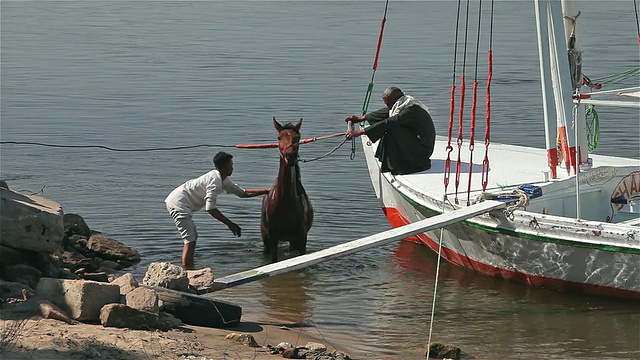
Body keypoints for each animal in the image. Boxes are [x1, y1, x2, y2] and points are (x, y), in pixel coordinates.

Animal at [262, 117, 314, 262]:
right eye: (279, 137)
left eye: (298, 137)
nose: (290, 155)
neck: (285, 200)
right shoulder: (273, 236)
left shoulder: (301, 237)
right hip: (265, 238)